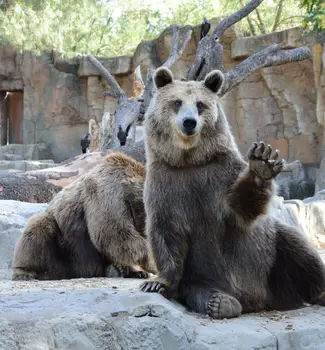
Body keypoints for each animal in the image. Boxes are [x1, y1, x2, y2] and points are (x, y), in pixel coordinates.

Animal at [140, 67, 324, 318]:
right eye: (177, 102)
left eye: (200, 104)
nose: (189, 122)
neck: (190, 160)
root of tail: (259, 301)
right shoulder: (167, 183)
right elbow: (166, 230)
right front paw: (156, 283)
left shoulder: (220, 176)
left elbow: (241, 209)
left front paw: (263, 161)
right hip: (200, 275)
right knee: (198, 288)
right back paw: (221, 302)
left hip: (272, 257)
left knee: (300, 250)